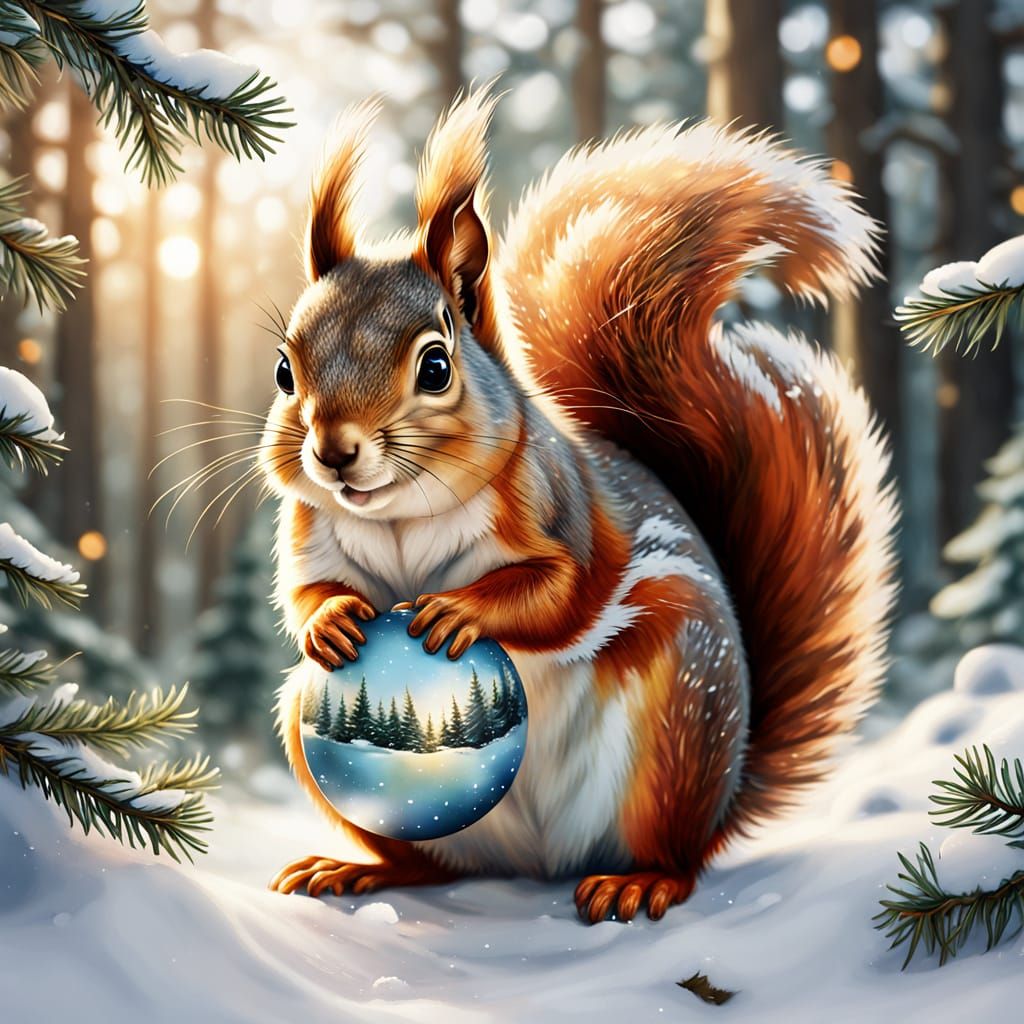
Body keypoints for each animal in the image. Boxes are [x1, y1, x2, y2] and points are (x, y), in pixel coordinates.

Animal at [261, 85, 898, 924]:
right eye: (283, 370)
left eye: (435, 366)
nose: (334, 452)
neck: (401, 515)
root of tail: (537, 863)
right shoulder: (309, 535)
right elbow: (305, 594)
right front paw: (332, 620)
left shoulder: (563, 510)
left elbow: (561, 593)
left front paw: (461, 610)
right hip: (326, 741)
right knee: (425, 862)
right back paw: (356, 869)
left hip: (675, 719)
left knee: (678, 855)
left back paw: (641, 881)